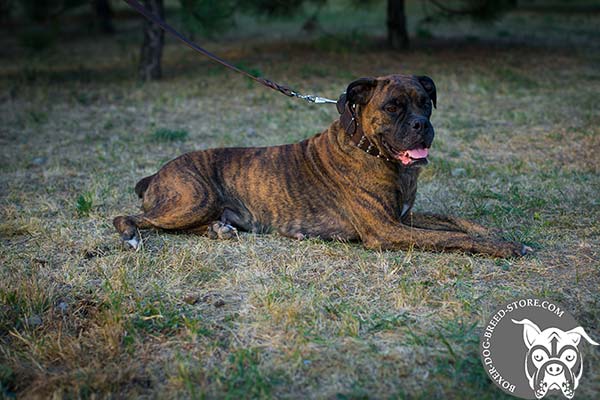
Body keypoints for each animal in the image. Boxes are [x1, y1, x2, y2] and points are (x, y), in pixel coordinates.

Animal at [112, 74, 528, 258]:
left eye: (425, 102)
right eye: (393, 107)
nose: (421, 125)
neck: (370, 149)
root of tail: (156, 173)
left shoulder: (403, 216)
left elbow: (455, 221)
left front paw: (495, 232)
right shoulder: (386, 229)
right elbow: (452, 238)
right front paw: (501, 246)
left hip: (203, 207)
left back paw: (219, 230)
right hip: (194, 199)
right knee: (128, 217)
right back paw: (131, 235)